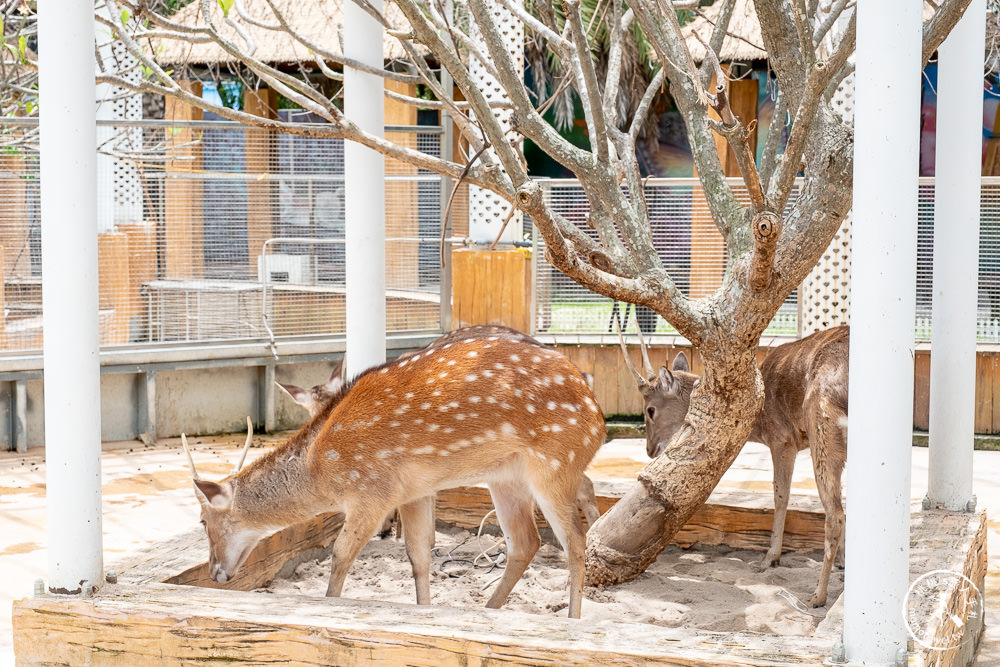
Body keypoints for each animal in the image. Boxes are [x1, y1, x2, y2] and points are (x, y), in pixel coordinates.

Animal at [620, 324, 848, 612]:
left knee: (834, 514)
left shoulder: (782, 439)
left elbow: (780, 495)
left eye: (650, 409)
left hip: (823, 431)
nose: (650, 449)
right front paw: (843, 563)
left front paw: (769, 559)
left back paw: (817, 597)